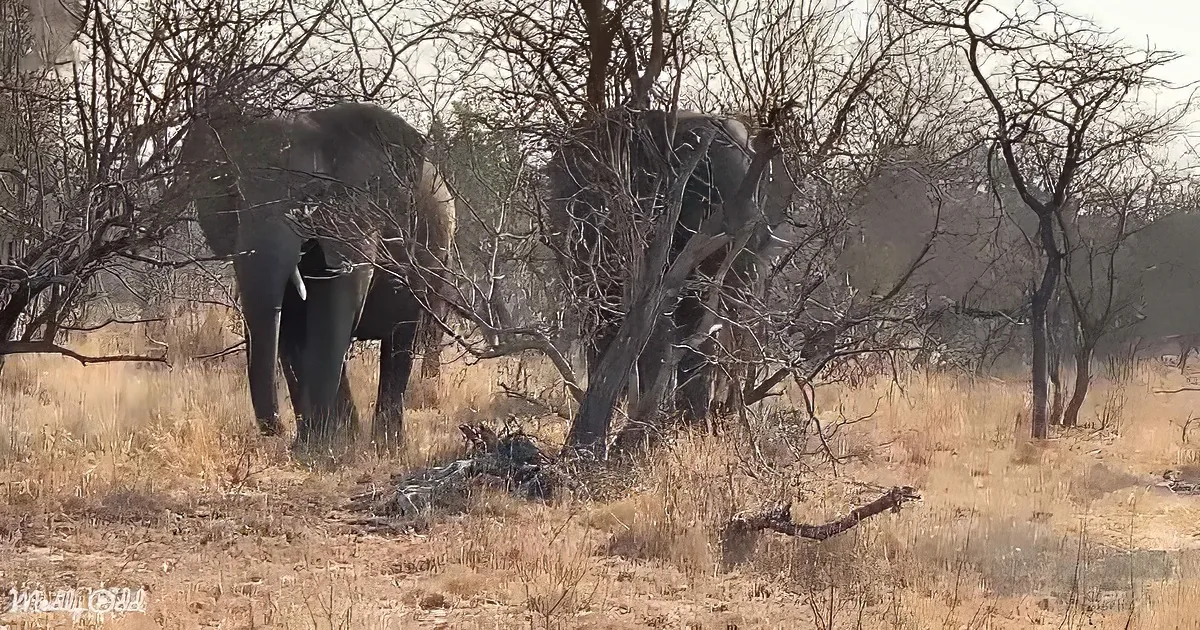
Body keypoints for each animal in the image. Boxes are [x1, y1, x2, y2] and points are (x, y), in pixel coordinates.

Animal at [179, 101, 457, 452]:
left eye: (312, 194)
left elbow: (336, 303)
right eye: (234, 194)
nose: (276, 429)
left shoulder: (359, 212)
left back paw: (385, 445)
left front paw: (326, 449)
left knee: (401, 337)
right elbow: (293, 322)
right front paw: (312, 445)